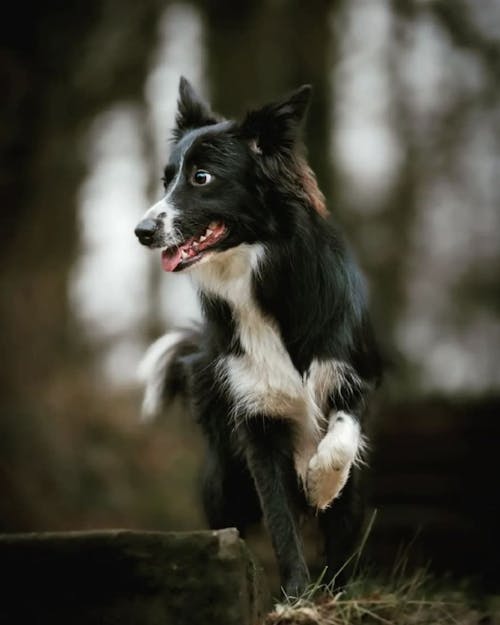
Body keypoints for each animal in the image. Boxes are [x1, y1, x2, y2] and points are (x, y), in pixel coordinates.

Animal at [135, 78, 380, 596]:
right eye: (167, 180)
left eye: (201, 178)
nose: (141, 231)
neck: (257, 275)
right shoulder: (256, 420)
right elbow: (281, 518)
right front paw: (297, 597)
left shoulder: (353, 375)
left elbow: (341, 441)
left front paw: (319, 483)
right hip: (224, 474)